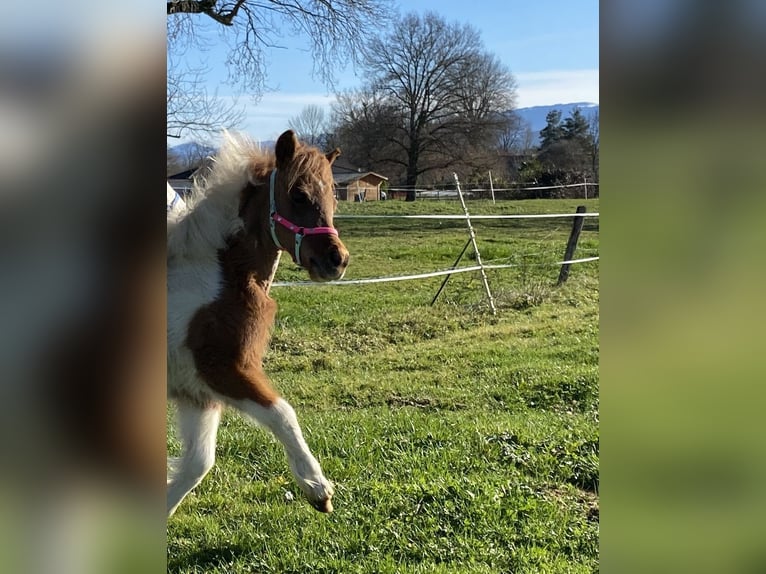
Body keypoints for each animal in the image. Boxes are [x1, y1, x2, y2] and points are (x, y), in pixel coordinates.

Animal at [166, 129, 348, 517]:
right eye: (298, 194)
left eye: (333, 198)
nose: (336, 260)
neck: (221, 276)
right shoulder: (225, 371)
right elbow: (283, 414)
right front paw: (318, 489)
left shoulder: (197, 392)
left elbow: (197, 464)